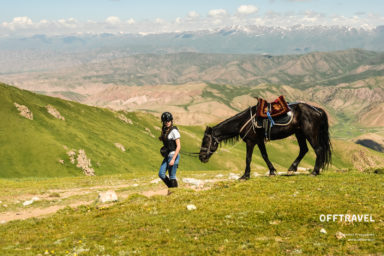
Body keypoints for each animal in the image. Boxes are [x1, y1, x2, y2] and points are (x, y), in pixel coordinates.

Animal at [200, 102, 332, 178]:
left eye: (205, 141)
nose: (201, 157)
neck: (245, 121)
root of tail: (317, 110)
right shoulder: (259, 141)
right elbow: (264, 155)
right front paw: (272, 171)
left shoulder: (250, 142)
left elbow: (248, 158)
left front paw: (245, 175)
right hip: (299, 134)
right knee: (304, 150)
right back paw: (291, 169)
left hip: (309, 134)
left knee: (318, 149)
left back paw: (314, 172)